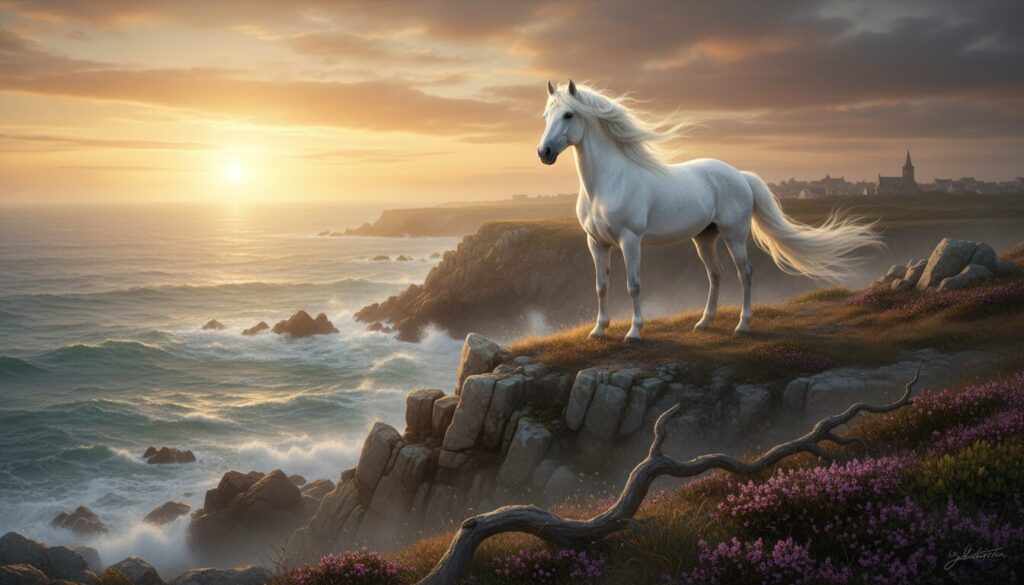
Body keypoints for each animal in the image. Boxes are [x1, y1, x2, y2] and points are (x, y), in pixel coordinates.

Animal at [536, 80, 882, 341]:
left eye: (569, 115)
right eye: (546, 116)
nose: (544, 152)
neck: (608, 182)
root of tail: (740, 175)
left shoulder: (630, 241)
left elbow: (633, 285)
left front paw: (634, 332)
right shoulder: (596, 243)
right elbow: (601, 286)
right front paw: (598, 330)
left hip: (734, 235)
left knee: (745, 273)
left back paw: (742, 325)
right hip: (704, 238)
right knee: (715, 275)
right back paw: (704, 321)